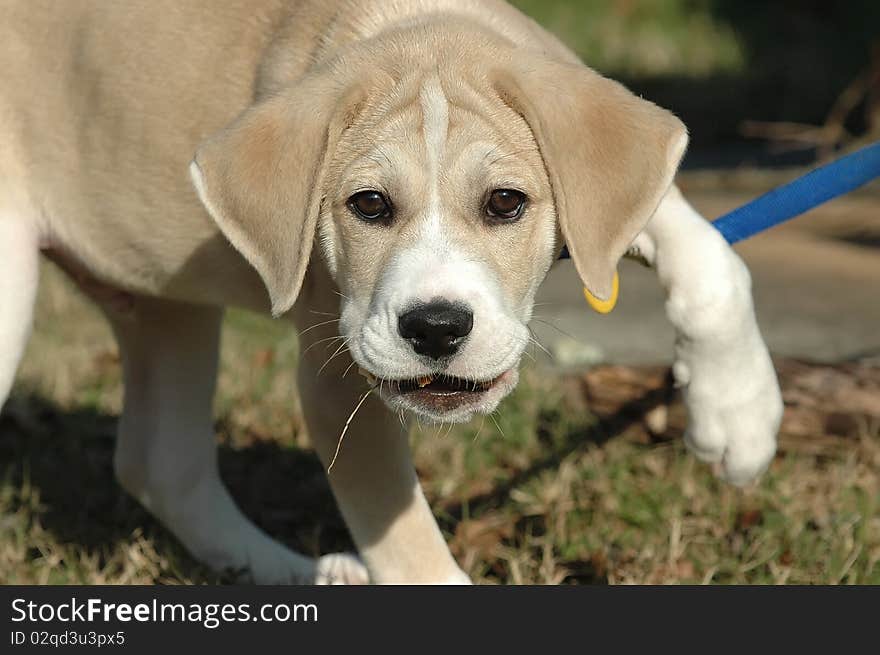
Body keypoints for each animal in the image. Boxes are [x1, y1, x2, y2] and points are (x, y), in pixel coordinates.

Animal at [0, 0, 784, 584]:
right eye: (369, 205)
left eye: (505, 203)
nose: (436, 327)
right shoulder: (338, 378)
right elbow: (407, 543)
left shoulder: (614, 206)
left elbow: (707, 253)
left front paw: (739, 417)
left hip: (167, 303)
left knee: (162, 465)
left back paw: (296, 573)